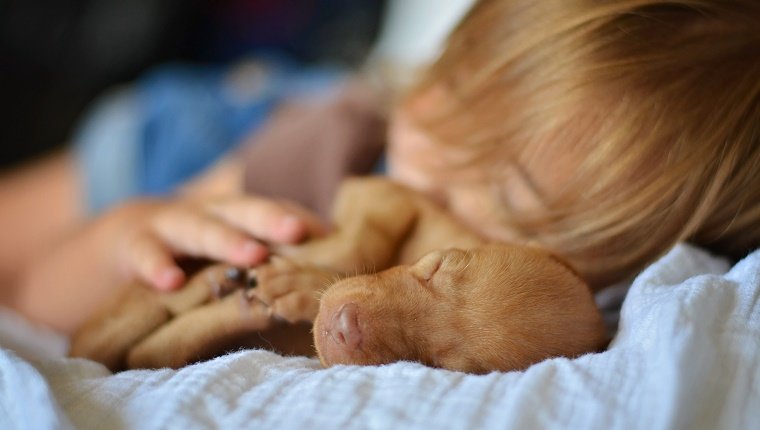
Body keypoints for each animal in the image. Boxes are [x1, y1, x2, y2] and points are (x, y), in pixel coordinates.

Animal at [70, 177, 604, 372]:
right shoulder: (384, 195)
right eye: (435, 265)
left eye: (436, 364)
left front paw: (294, 286)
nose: (342, 326)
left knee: (144, 351)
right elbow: (364, 237)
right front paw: (298, 280)